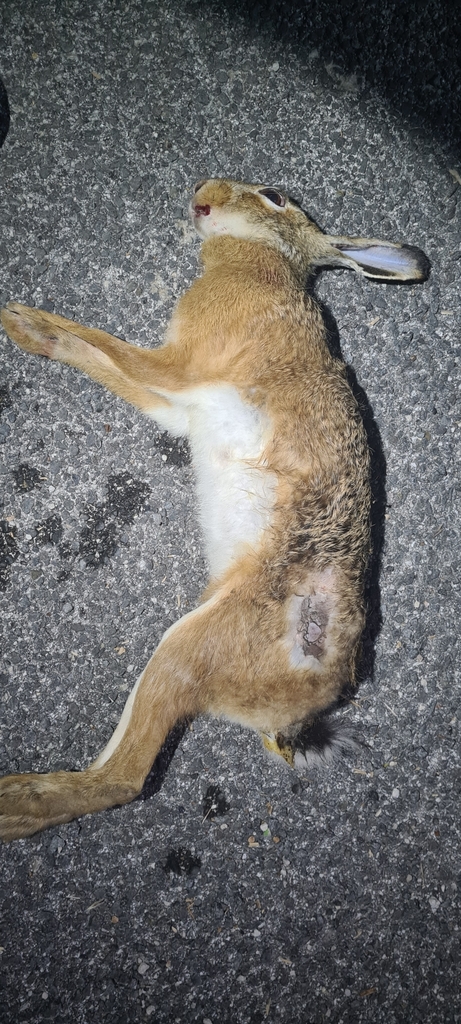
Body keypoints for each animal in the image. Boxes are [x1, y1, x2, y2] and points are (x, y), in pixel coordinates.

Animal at [0, 178, 429, 841]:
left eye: (274, 194)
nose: (204, 189)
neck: (264, 260)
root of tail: (307, 700)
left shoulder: (182, 364)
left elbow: (112, 347)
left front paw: (22, 320)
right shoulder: (178, 401)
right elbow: (108, 364)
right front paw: (30, 332)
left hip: (190, 645)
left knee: (123, 778)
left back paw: (11, 801)